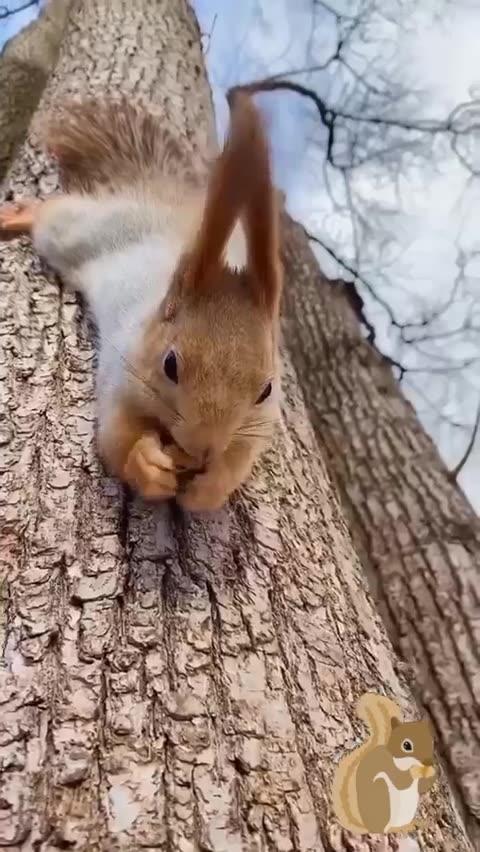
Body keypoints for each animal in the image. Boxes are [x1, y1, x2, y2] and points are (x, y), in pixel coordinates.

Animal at [0, 89, 282, 512]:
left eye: (265, 389)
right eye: (170, 365)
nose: (202, 450)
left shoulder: (260, 425)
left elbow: (238, 460)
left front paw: (210, 485)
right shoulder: (121, 371)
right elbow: (116, 436)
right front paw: (146, 463)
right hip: (73, 233)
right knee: (49, 213)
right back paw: (16, 215)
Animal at [332, 693, 437, 834]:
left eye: (431, 742)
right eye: (406, 745)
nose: (428, 762)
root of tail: (367, 826)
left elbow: (421, 787)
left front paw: (432, 772)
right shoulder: (388, 765)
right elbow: (401, 781)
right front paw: (415, 771)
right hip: (382, 797)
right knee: (384, 829)